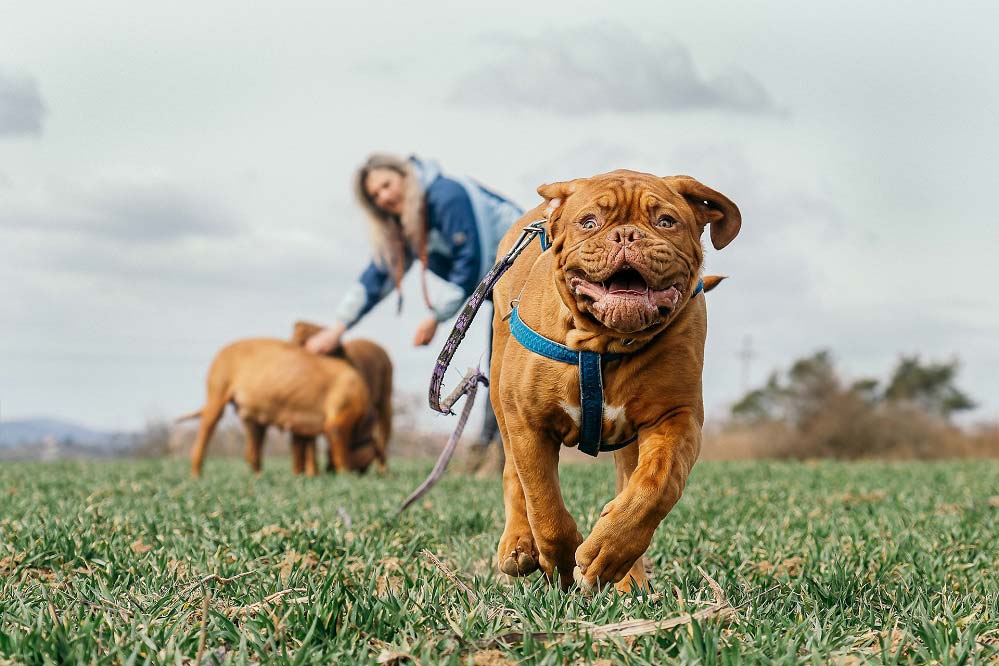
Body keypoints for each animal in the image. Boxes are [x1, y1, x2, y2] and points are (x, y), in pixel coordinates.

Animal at [182, 328, 392, 474]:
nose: (362, 473)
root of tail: (222, 351)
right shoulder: (338, 423)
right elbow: (342, 456)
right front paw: (345, 475)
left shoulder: (303, 427)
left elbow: (301, 451)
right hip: (217, 395)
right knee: (203, 438)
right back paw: (196, 474)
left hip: (252, 417)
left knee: (252, 453)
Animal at [492, 170, 744, 592]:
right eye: (588, 222)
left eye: (666, 221)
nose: (626, 235)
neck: (602, 341)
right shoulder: (529, 422)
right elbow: (544, 504)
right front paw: (561, 564)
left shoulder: (676, 417)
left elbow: (656, 486)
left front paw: (606, 552)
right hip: (501, 395)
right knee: (514, 473)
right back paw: (518, 544)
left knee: (629, 481)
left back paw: (629, 580)